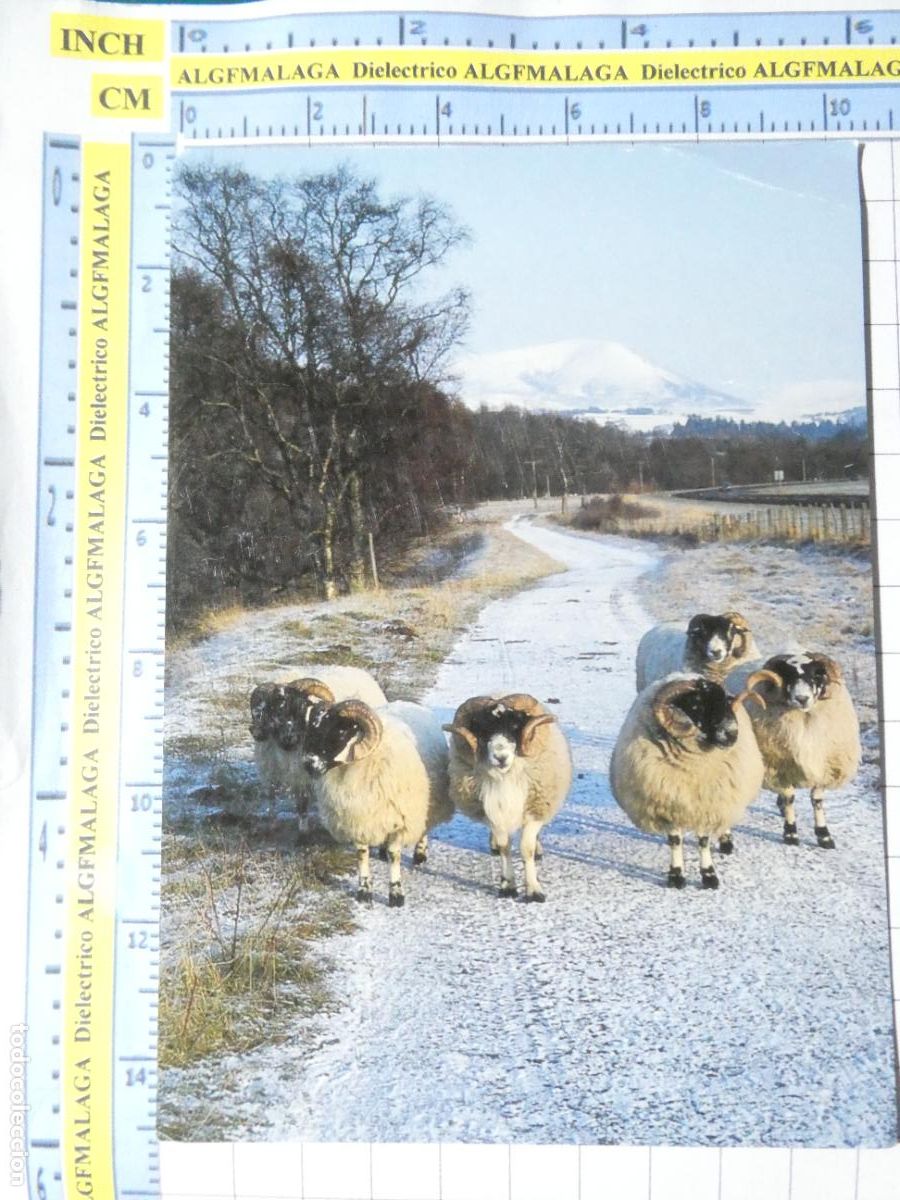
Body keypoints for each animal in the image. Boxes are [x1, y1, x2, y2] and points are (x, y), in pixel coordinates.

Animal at [301, 698, 452, 907]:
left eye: (340, 731)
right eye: (312, 728)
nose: (308, 763)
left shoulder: (399, 821)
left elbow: (394, 855)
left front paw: (396, 894)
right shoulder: (357, 819)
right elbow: (361, 855)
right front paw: (364, 891)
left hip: (426, 803)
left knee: (424, 827)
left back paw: (420, 854)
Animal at [443, 693, 572, 902]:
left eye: (515, 726)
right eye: (482, 730)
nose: (500, 757)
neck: (505, 778)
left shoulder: (534, 811)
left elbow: (526, 849)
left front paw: (534, 890)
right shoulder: (494, 813)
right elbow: (505, 847)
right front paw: (508, 886)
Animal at [609, 673, 769, 889]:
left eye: (724, 702)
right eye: (695, 705)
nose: (731, 733)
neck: (692, 767)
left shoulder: (705, 805)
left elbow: (703, 841)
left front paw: (709, 875)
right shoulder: (669, 806)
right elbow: (675, 841)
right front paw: (676, 875)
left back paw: (726, 840)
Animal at [739, 652, 861, 849]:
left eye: (815, 676)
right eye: (787, 677)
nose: (802, 698)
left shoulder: (823, 766)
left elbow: (817, 800)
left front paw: (824, 835)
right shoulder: (777, 766)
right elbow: (789, 797)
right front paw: (790, 833)